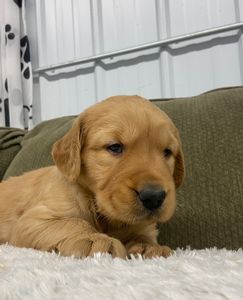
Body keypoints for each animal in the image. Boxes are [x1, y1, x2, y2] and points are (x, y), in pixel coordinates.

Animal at [0, 96, 183, 258]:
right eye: (115, 147)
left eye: (167, 152)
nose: (154, 196)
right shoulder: (32, 221)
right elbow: (73, 222)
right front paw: (93, 239)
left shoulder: (142, 225)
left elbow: (143, 233)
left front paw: (149, 246)